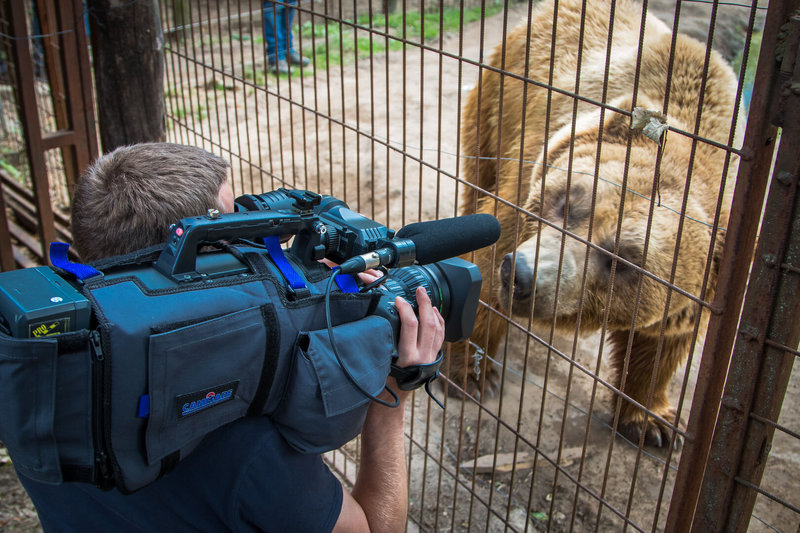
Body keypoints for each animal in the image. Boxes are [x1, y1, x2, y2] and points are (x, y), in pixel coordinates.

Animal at [450, 0, 744, 446]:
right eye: (567, 203)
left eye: (621, 260)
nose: (523, 275)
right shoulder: (534, 169)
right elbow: (485, 259)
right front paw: (472, 372)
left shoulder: (703, 280)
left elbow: (661, 342)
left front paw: (653, 422)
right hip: (499, 102)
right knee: (477, 182)